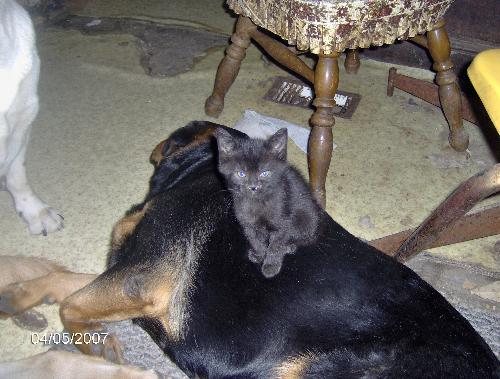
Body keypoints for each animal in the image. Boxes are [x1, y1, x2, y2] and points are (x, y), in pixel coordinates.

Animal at [216, 128, 320, 280]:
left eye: (264, 173)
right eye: (241, 174)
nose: (253, 187)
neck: (257, 203)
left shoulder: (283, 224)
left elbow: (275, 246)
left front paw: (271, 266)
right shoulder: (248, 225)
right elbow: (255, 241)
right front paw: (259, 255)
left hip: (307, 221)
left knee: (303, 239)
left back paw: (288, 247)